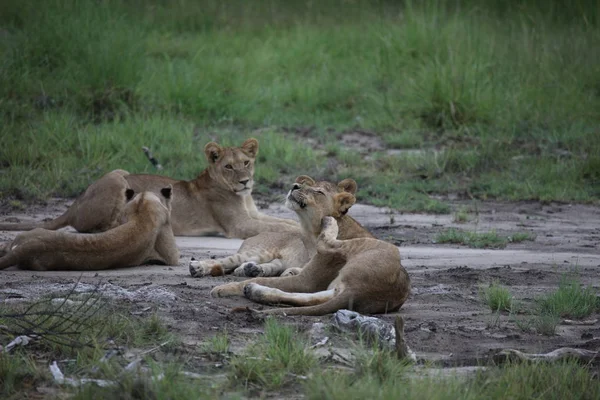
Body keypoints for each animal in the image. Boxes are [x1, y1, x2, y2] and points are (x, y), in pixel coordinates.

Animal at [0, 138, 298, 238]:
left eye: (246, 163)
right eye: (228, 167)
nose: (245, 181)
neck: (243, 197)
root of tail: (73, 206)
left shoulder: (255, 215)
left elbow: (284, 222)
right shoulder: (238, 226)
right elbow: (278, 228)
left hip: (119, 171)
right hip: (118, 182)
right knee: (92, 228)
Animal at [207, 176, 412, 316]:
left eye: (319, 192)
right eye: (306, 185)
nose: (295, 185)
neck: (309, 233)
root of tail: (360, 291)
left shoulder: (307, 280)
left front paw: (224, 288)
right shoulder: (309, 281)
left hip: (383, 247)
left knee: (327, 246)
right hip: (336, 287)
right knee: (312, 299)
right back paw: (255, 292)